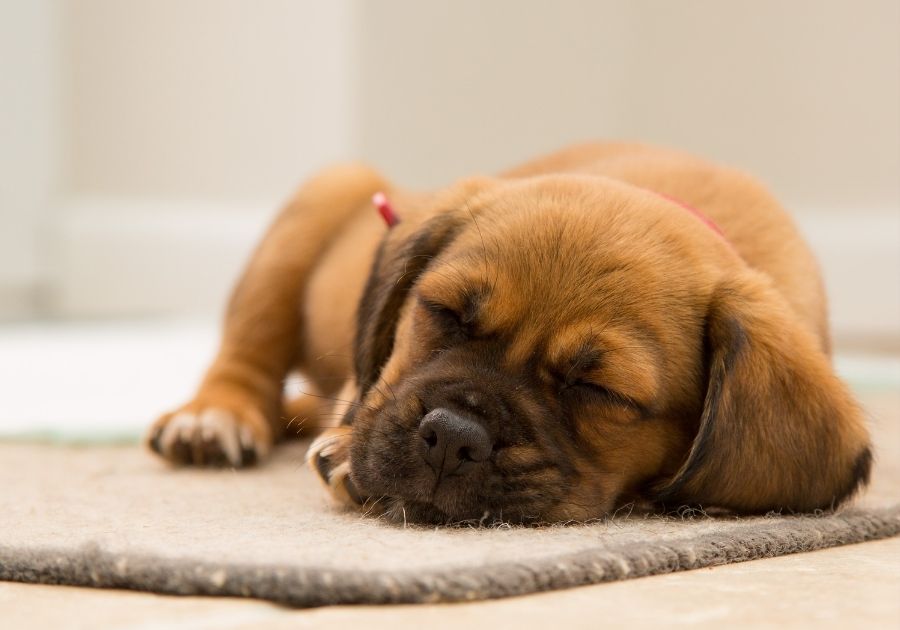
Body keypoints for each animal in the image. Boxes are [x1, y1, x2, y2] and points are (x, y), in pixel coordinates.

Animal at [146, 146, 872, 524]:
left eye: (598, 390)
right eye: (443, 313)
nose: (451, 437)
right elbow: (367, 388)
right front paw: (349, 446)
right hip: (317, 206)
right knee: (248, 356)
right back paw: (215, 416)